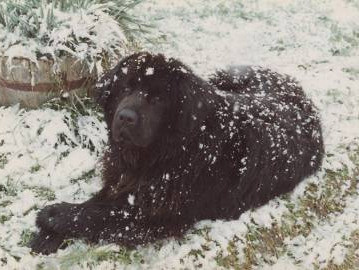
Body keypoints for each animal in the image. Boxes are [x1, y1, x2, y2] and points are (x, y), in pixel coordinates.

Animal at [30, 51, 324, 254]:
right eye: (126, 88)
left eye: (159, 99)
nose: (125, 117)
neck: (163, 155)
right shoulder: (121, 180)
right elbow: (95, 202)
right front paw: (48, 235)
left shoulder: (159, 217)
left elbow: (102, 215)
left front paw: (53, 216)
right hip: (229, 77)